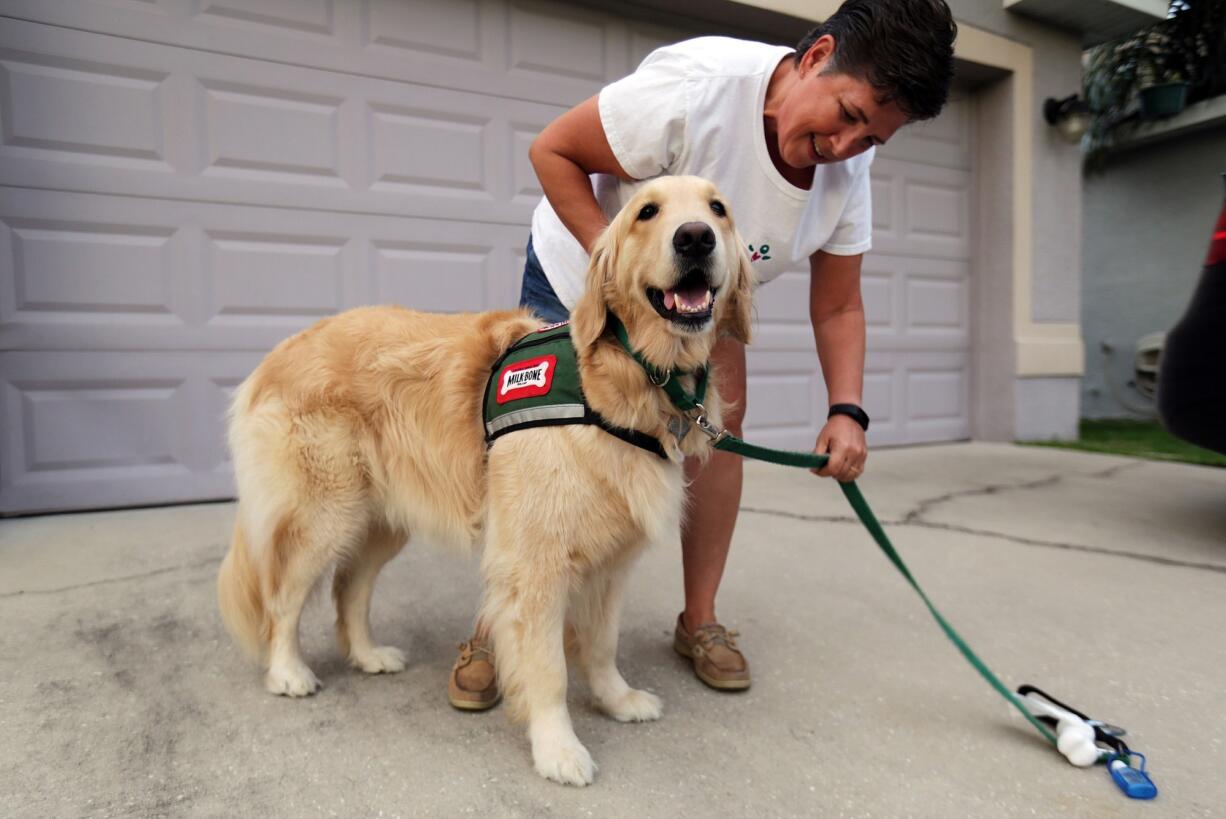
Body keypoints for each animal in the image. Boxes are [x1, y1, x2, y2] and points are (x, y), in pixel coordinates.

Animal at [221, 174, 755, 784]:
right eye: (647, 212)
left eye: (718, 209)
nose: (695, 238)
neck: (626, 380)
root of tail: (279, 351)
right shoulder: (535, 564)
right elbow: (548, 668)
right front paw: (557, 748)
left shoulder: (611, 563)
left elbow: (601, 644)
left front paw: (616, 700)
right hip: (325, 514)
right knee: (283, 596)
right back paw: (288, 671)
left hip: (382, 519)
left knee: (349, 587)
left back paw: (368, 654)